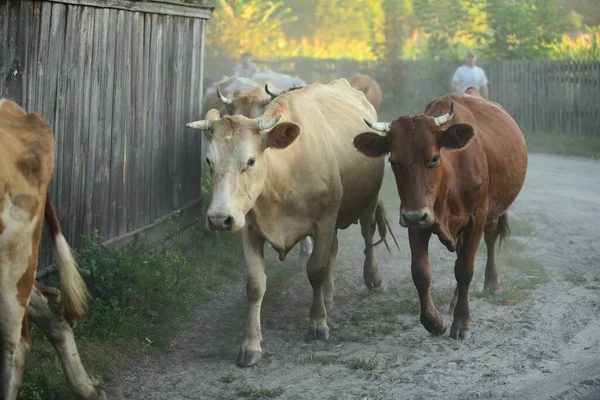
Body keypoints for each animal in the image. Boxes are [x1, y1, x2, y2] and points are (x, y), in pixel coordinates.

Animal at [185, 77, 396, 366]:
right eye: (209, 161)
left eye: (250, 160)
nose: (219, 219)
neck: (285, 173)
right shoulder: (249, 228)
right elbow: (255, 284)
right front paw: (250, 344)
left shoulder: (324, 221)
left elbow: (315, 270)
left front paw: (318, 323)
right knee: (334, 250)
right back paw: (328, 294)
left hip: (367, 201)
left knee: (367, 233)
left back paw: (372, 278)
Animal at [354, 88, 528, 340]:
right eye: (393, 162)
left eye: (435, 158)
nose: (415, 216)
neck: (451, 177)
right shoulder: (416, 220)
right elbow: (421, 272)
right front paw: (434, 321)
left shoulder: (476, 219)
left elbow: (465, 269)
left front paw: (462, 322)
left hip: (492, 213)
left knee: (490, 238)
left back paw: (491, 282)